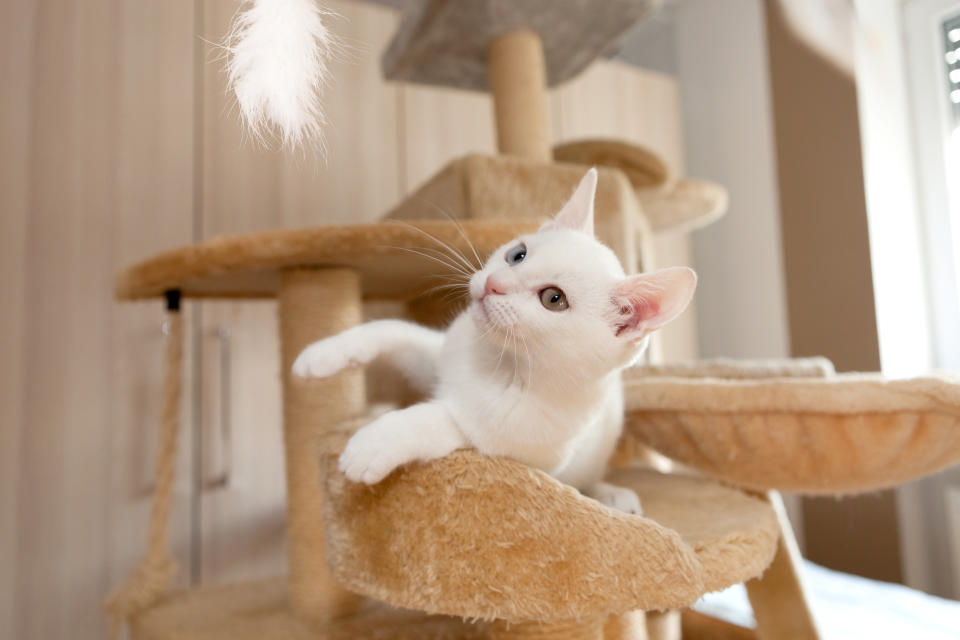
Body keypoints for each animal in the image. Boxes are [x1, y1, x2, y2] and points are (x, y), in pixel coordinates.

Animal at [288, 170, 692, 516]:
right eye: (518, 254)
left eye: (553, 299)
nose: (494, 283)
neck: (499, 360)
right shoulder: (440, 353)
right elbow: (391, 330)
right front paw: (322, 353)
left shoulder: (515, 443)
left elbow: (441, 417)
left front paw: (374, 443)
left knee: (585, 480)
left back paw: (613, 495)